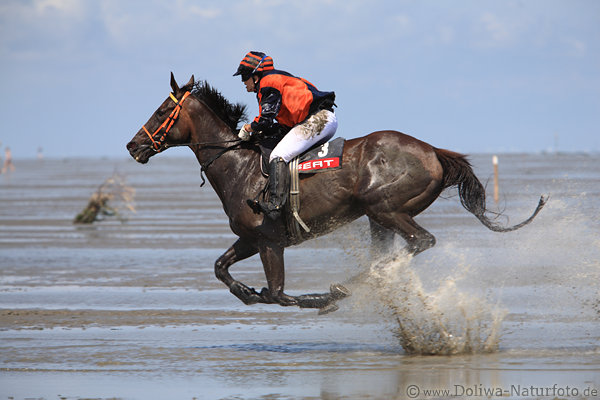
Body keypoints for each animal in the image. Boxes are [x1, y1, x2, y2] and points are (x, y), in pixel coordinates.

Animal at [127, 74, 548, 312]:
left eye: (163, 110)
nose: (133, 146)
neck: (239, 166)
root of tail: (433, 152)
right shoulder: (251, 238)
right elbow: (220, 267)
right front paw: (246, 291)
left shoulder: (269, 241)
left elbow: (278, 293)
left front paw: (308, 299)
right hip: (380, 220)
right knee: (389, 257)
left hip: (385, 208)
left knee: (420, 242)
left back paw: (339, 290)